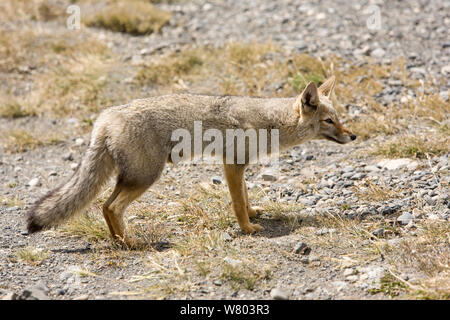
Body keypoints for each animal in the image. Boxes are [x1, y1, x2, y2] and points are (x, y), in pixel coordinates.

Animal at [26, 76, 356, 246]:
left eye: (339, 119)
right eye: (329, 121)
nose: (353, 136)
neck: (269, 121)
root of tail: (105, 118)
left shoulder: (239, 166)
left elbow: (246, 195)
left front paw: (254, 214)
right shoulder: (232, 164)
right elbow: (237, 202)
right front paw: (247, 228)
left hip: (132, 178)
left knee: (105, 207)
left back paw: (120, 241)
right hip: (145, 178)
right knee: (111, 207)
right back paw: (130, 243)